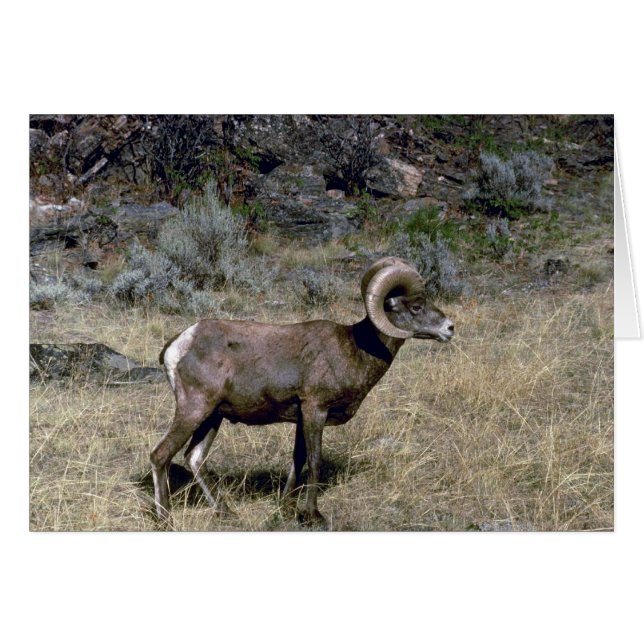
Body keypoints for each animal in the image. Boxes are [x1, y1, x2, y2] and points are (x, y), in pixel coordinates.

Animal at [151, 256, 454, 527]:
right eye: (416, 307)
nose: (450, 328)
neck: (356, 349)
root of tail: (178, 344)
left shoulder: (301, 417)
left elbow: (297, 459)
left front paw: (286, 508)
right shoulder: (314, 410)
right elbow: (314, 460)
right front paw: (312, 515)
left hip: (213, 417)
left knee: (195, 458)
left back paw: (225, 513)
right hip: (194, 410)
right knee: (160, 455)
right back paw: (165, 519)